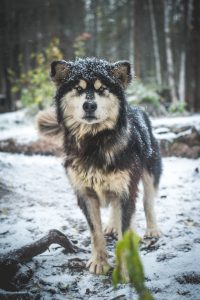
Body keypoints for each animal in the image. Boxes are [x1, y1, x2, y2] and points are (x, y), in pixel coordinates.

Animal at [37, 58, 162, 274]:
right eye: (78, 88)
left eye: (102, 88)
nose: (89, 105)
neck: (94, 143)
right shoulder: (86, 194)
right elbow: (95, 233)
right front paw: (99, 262)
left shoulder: (126, 190)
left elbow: (125, 231)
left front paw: (125, 270)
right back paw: (112, 225)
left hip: (148, 172)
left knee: (148, 202)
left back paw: (152, 229)